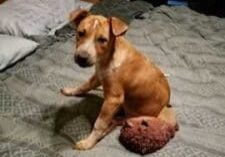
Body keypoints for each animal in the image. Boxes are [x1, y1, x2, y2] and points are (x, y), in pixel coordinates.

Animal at [60, 9, 177, 150]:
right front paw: (70, 90)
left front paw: (88, 142)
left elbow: (99, 124)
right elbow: (84, 86)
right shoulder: (97, 76)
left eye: (102, 40)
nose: (81, 58)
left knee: (116, 122)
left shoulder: (113, 99)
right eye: (80, 33)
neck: (108, 58)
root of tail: (166, 107)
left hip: (132, 113)